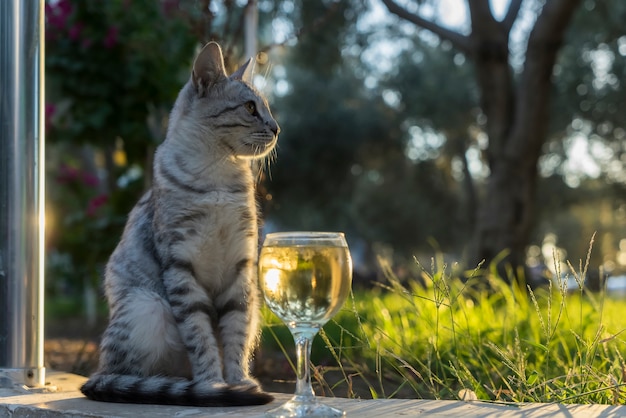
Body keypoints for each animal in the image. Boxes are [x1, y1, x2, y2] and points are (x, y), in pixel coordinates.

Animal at [80, 41, 278, 404]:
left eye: (268, 108)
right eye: (250, 107)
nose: (276, 128)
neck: (219, 174)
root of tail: (96, 373)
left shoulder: (240, 265)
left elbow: (236, 334)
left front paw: (238, 382)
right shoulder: (180, 263)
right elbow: (200, 336)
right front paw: (214, 385)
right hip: (147, 306)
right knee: (130, 375)